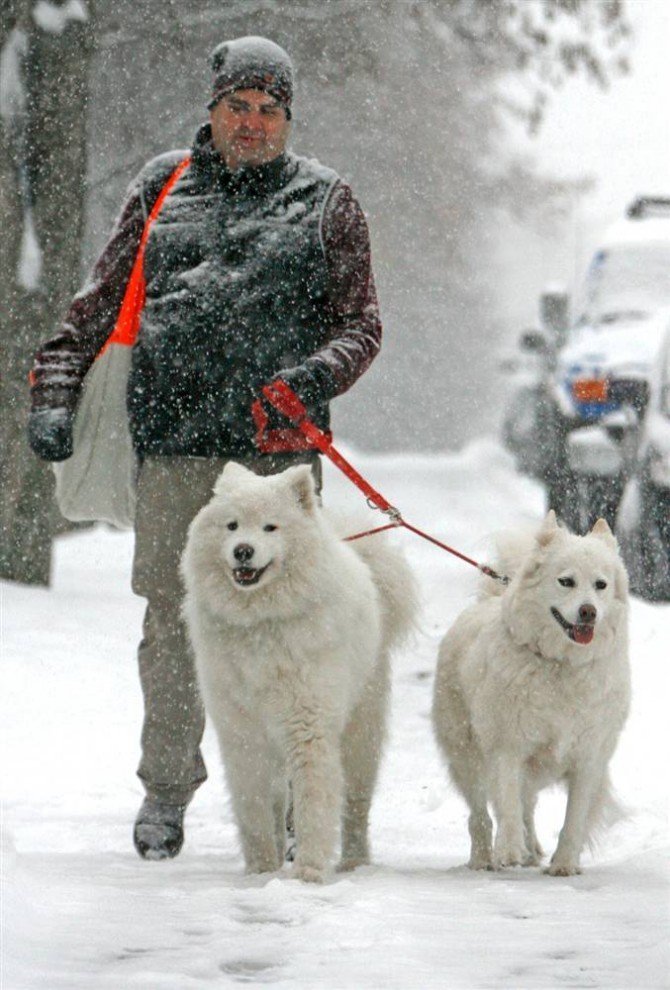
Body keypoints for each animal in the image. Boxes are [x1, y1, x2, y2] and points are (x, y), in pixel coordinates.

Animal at [181, 464, 418, 884]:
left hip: (360, 735)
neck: (260, 623)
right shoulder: (242, 734)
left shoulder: (309, 726)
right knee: (278, 801)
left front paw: (308, 871)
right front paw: (261, 870)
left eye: (270, 528)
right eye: (232, 525)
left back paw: (354, 861)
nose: (243, 550)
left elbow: (313, 804)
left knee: (355, 805)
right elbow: (255, 808)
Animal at [434, 512, 632, 876]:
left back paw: (532, 850)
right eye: (566, 581)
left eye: (600, 585)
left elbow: (574, 817)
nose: (589, 612)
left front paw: (564, 864)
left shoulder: (589, 758)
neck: (561, 665)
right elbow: (508, 805)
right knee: (481, 814)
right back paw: (485, 859)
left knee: (527, 805)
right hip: (466, 755)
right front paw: (509, 851)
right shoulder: (507, 747)